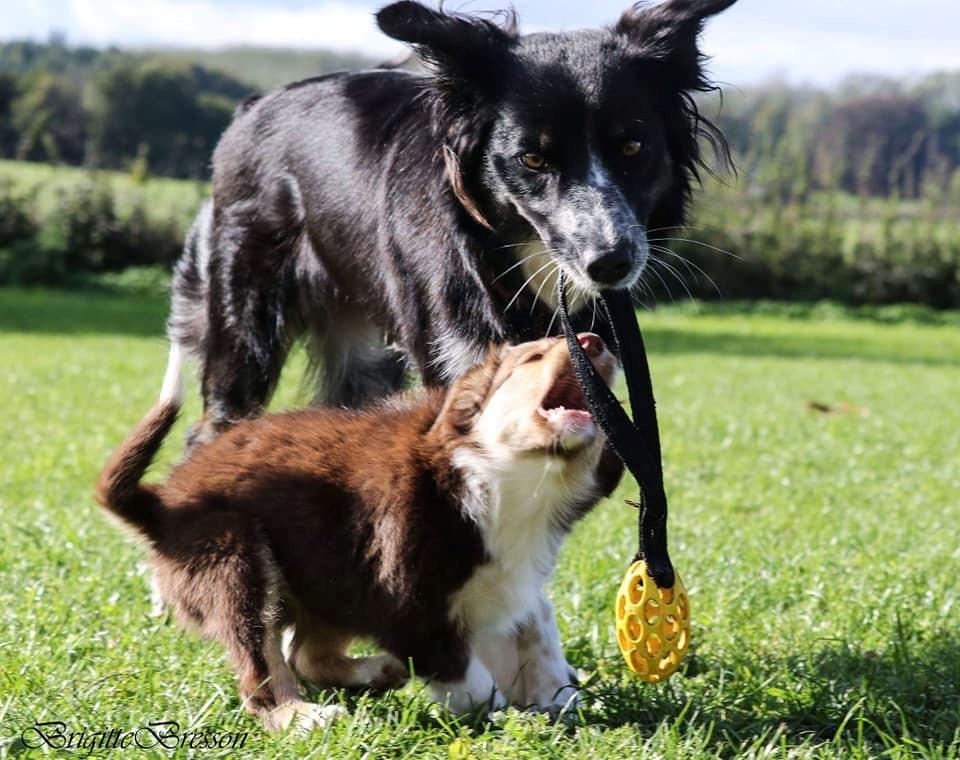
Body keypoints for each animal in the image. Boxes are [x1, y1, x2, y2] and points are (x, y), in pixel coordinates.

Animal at [95, 332, 616, 732]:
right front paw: (507, 716)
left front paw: (557, 697)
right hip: (238, 565)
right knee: (262, 670)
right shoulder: (406, 599)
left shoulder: (504, 581)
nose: (595, 341)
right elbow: (466, 675)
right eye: (534, 356)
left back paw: (377, 673)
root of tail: (161, 506)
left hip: (325, 577)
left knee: (305, 653)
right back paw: (303, 718)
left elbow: (538, 625)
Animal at [163, 0, 736, 712]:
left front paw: (548, 685)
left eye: (633, 146)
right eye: (531, 158)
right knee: (210, 431)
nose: (610, 262)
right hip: (246, 329)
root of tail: (251, 107)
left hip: (363, 364)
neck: (513, 254)